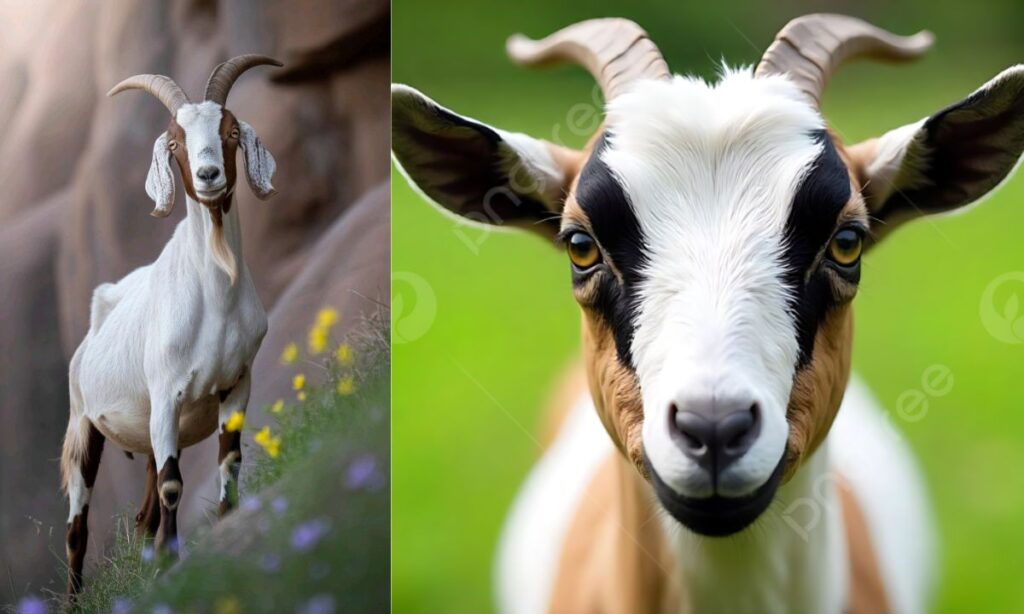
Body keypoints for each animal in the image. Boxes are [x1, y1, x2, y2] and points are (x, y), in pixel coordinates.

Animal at [61, 55, 280, 597]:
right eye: (176, 141)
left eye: (230, 132)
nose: (208, 175)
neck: (215, 297)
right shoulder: (166, 392)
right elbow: (173, 483)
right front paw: (170, 561)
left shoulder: (237, 382)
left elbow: (228, 460)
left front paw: (226, 524)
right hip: (83, 424)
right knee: (77, 527)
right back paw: (74, 601)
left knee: (143, 512)